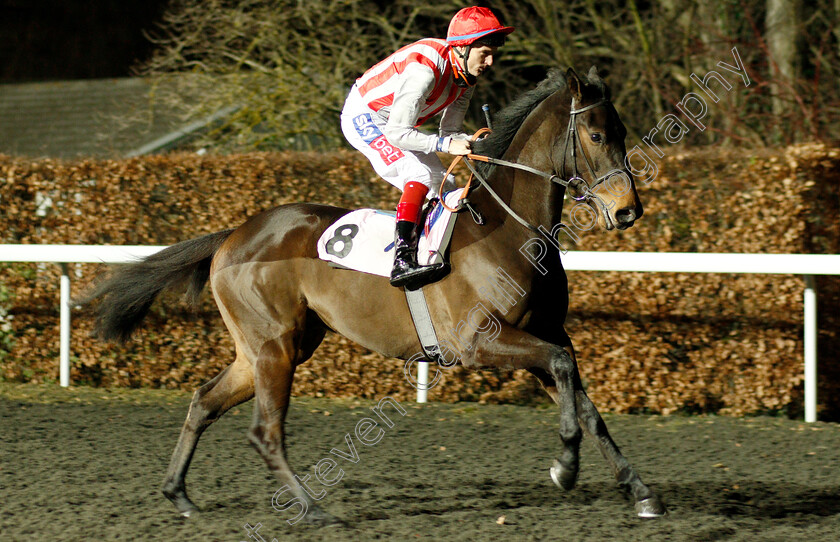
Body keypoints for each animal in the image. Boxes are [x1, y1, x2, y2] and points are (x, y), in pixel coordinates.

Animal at [82, 66, 668, 524]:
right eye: (595, 135)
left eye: (621, 131)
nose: (628, 210)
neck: (509, 229)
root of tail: (231, 235)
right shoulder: (479, 343)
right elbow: (566, 376)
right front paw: (564, 468)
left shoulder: (543, 335)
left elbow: (584, 400)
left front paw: (640, 492)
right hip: (275, 349)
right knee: (265, 431)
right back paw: (311, 508)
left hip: (270, 347)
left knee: (205, 400)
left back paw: (178, 494)